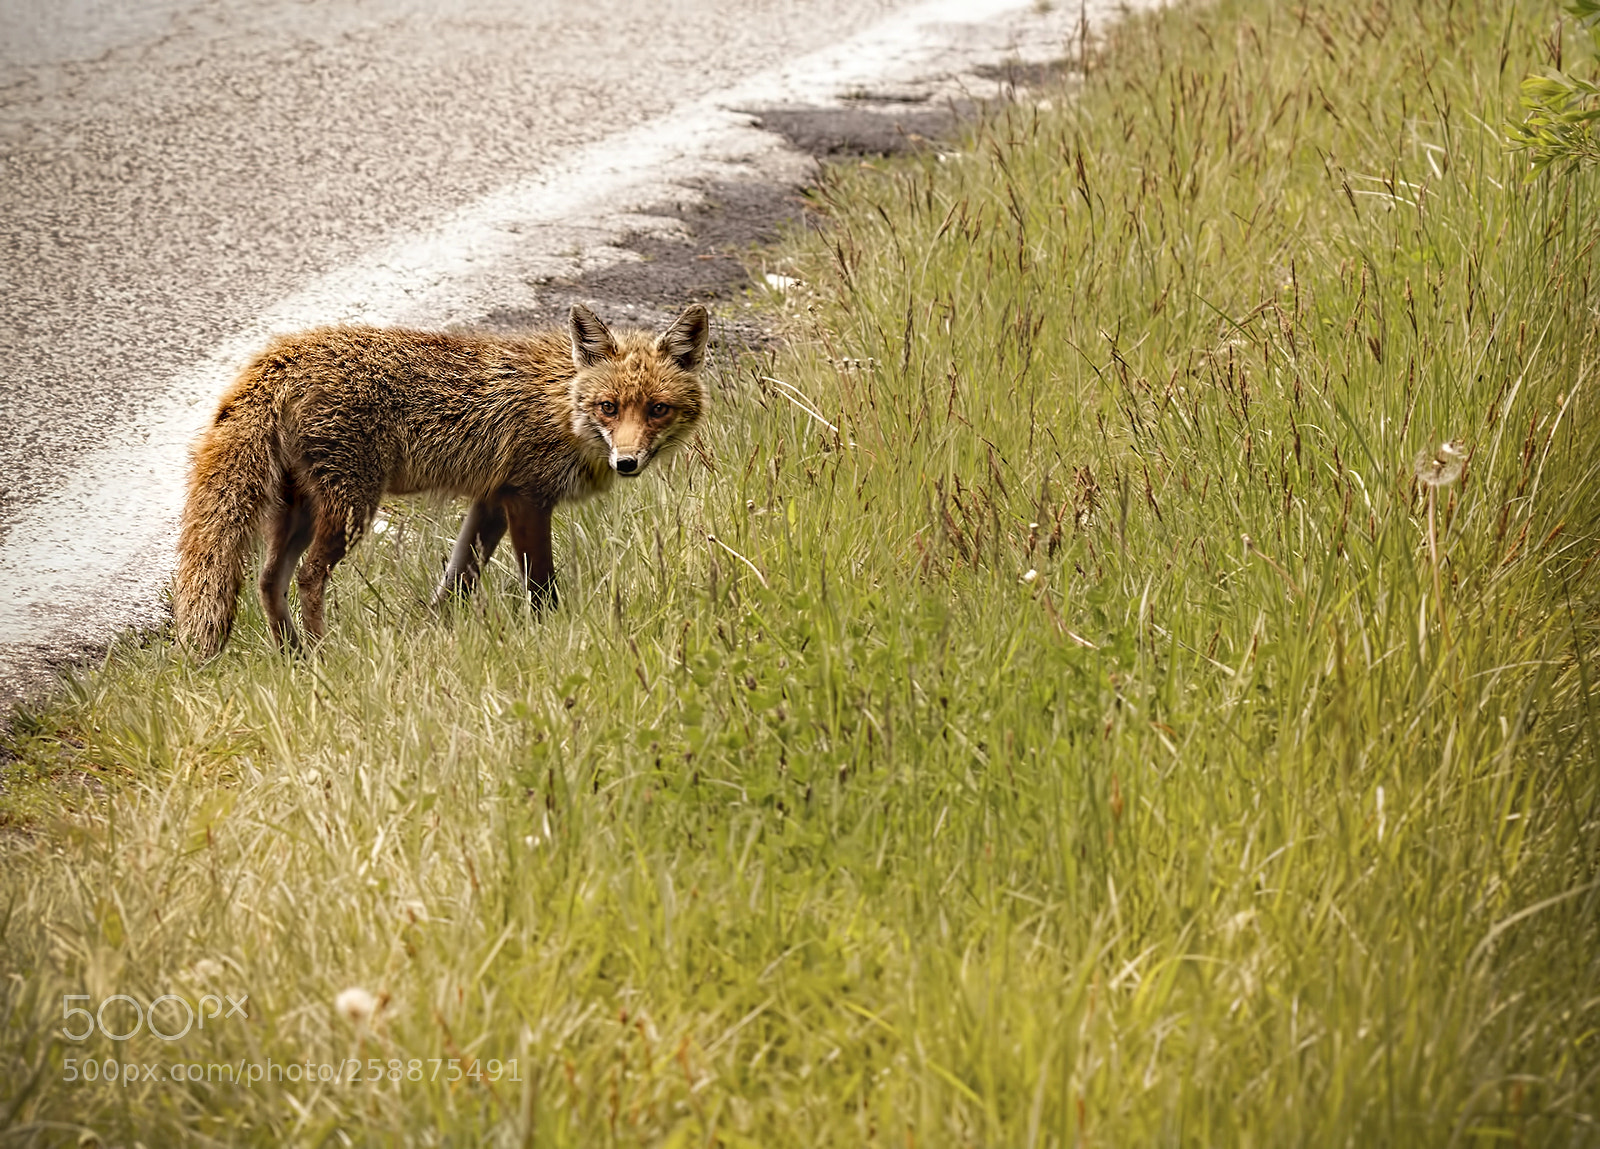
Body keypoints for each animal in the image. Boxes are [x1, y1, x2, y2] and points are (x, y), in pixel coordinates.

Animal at [173, 302, 708, 656]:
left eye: (658, 409)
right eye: (609, 407)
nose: (627, 462)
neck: (560, 405)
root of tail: (286, 353)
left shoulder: (491, 502)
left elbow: (457, 582)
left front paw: (433, 633)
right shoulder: (527, 498)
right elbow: (540, 587)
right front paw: (551, 637)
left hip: (302, 511)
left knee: (269, 580)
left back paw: (295, 657)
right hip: (351, 509)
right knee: (307, 576)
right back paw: (324, 654)